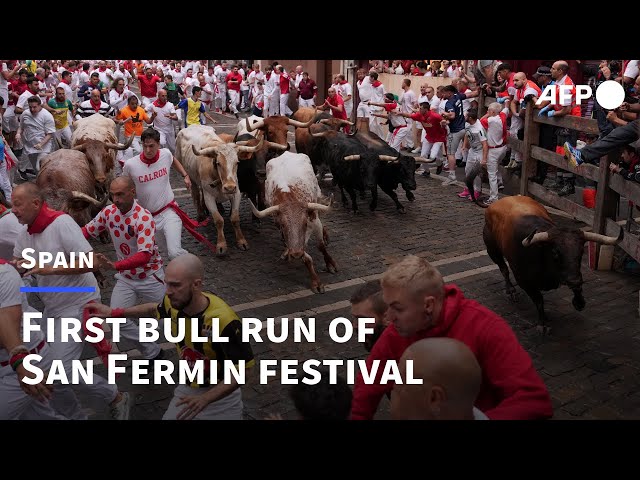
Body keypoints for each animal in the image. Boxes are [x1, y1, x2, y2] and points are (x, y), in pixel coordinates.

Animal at [175, 125, 262, 256]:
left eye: (237, 162)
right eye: (218, 163)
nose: (229, 187)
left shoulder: (236, 193)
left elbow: (235, 219)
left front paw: (241, 241)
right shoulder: (209, 197)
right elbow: (219, 220)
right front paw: (221, 245)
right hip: (190, 176)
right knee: (196, 194)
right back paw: (201, 215)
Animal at [246, 152, 340, 292]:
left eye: (305, 223)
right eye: (283, 225)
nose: (295, 254)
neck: (289, 198)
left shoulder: (314, 221)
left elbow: (321, 246)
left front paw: (330, 264)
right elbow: (306, 257)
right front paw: (315, 281)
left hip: (317, 194)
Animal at [482, 195, 624, 334]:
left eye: (581, 251)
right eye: (555, 252)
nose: (574, 280)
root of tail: (497, 203)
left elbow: (577, 289)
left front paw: (579, 302)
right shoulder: (524, 281)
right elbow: (539, 300)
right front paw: (543, 323)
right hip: (492, 250)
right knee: (504, 269)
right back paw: (510, 290)